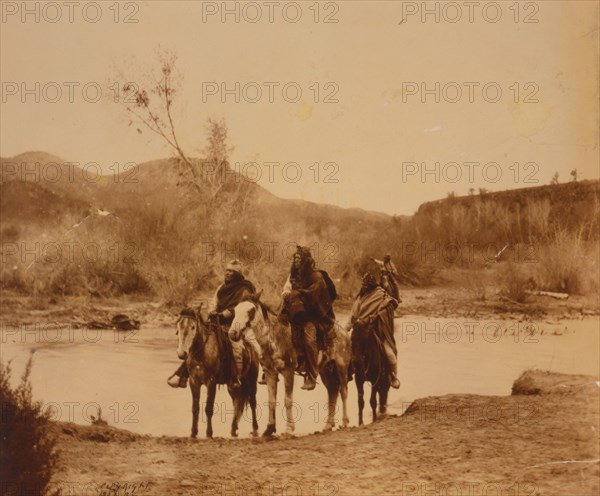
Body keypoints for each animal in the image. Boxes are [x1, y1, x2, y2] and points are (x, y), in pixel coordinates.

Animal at [173, 306, 258, 438]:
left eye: (193, 327)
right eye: (178, 327)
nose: (182, 353)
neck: (201, 353)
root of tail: (251, 347)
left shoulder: (211, 382)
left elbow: (208, 408)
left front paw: (209, 433)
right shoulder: (194, 382)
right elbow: (195, 408)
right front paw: (193, 432)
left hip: (251, 380)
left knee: (252, 402)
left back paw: (255, 429)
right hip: (232, 386)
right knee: (237, 402)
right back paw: (233, 429)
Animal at [229, 296, 352, 436]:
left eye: (251, 310)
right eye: (235, 310)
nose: (233, 333)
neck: (275, 338)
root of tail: (344, 333)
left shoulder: (288, 371)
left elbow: (287, 400)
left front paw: (288, 429)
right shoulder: (270, 373)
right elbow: (271, 401)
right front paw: (269, 428)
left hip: (341, 367)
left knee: (344, 392)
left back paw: (345, 422)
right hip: (326, 371)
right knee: (332, 392)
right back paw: (328, 425)